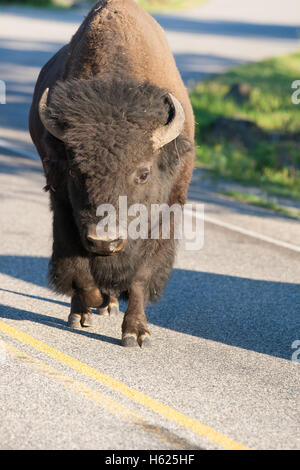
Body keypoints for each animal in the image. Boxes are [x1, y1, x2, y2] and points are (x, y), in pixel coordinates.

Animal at [29, 0, 196, 346]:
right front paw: (89, 304)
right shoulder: (63, 206)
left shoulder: (166, 213)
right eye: (75, 171)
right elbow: (77, 267)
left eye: (143, 173)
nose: (104, 241)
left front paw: (136, 333)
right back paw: (85, 312)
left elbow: (140, 276)